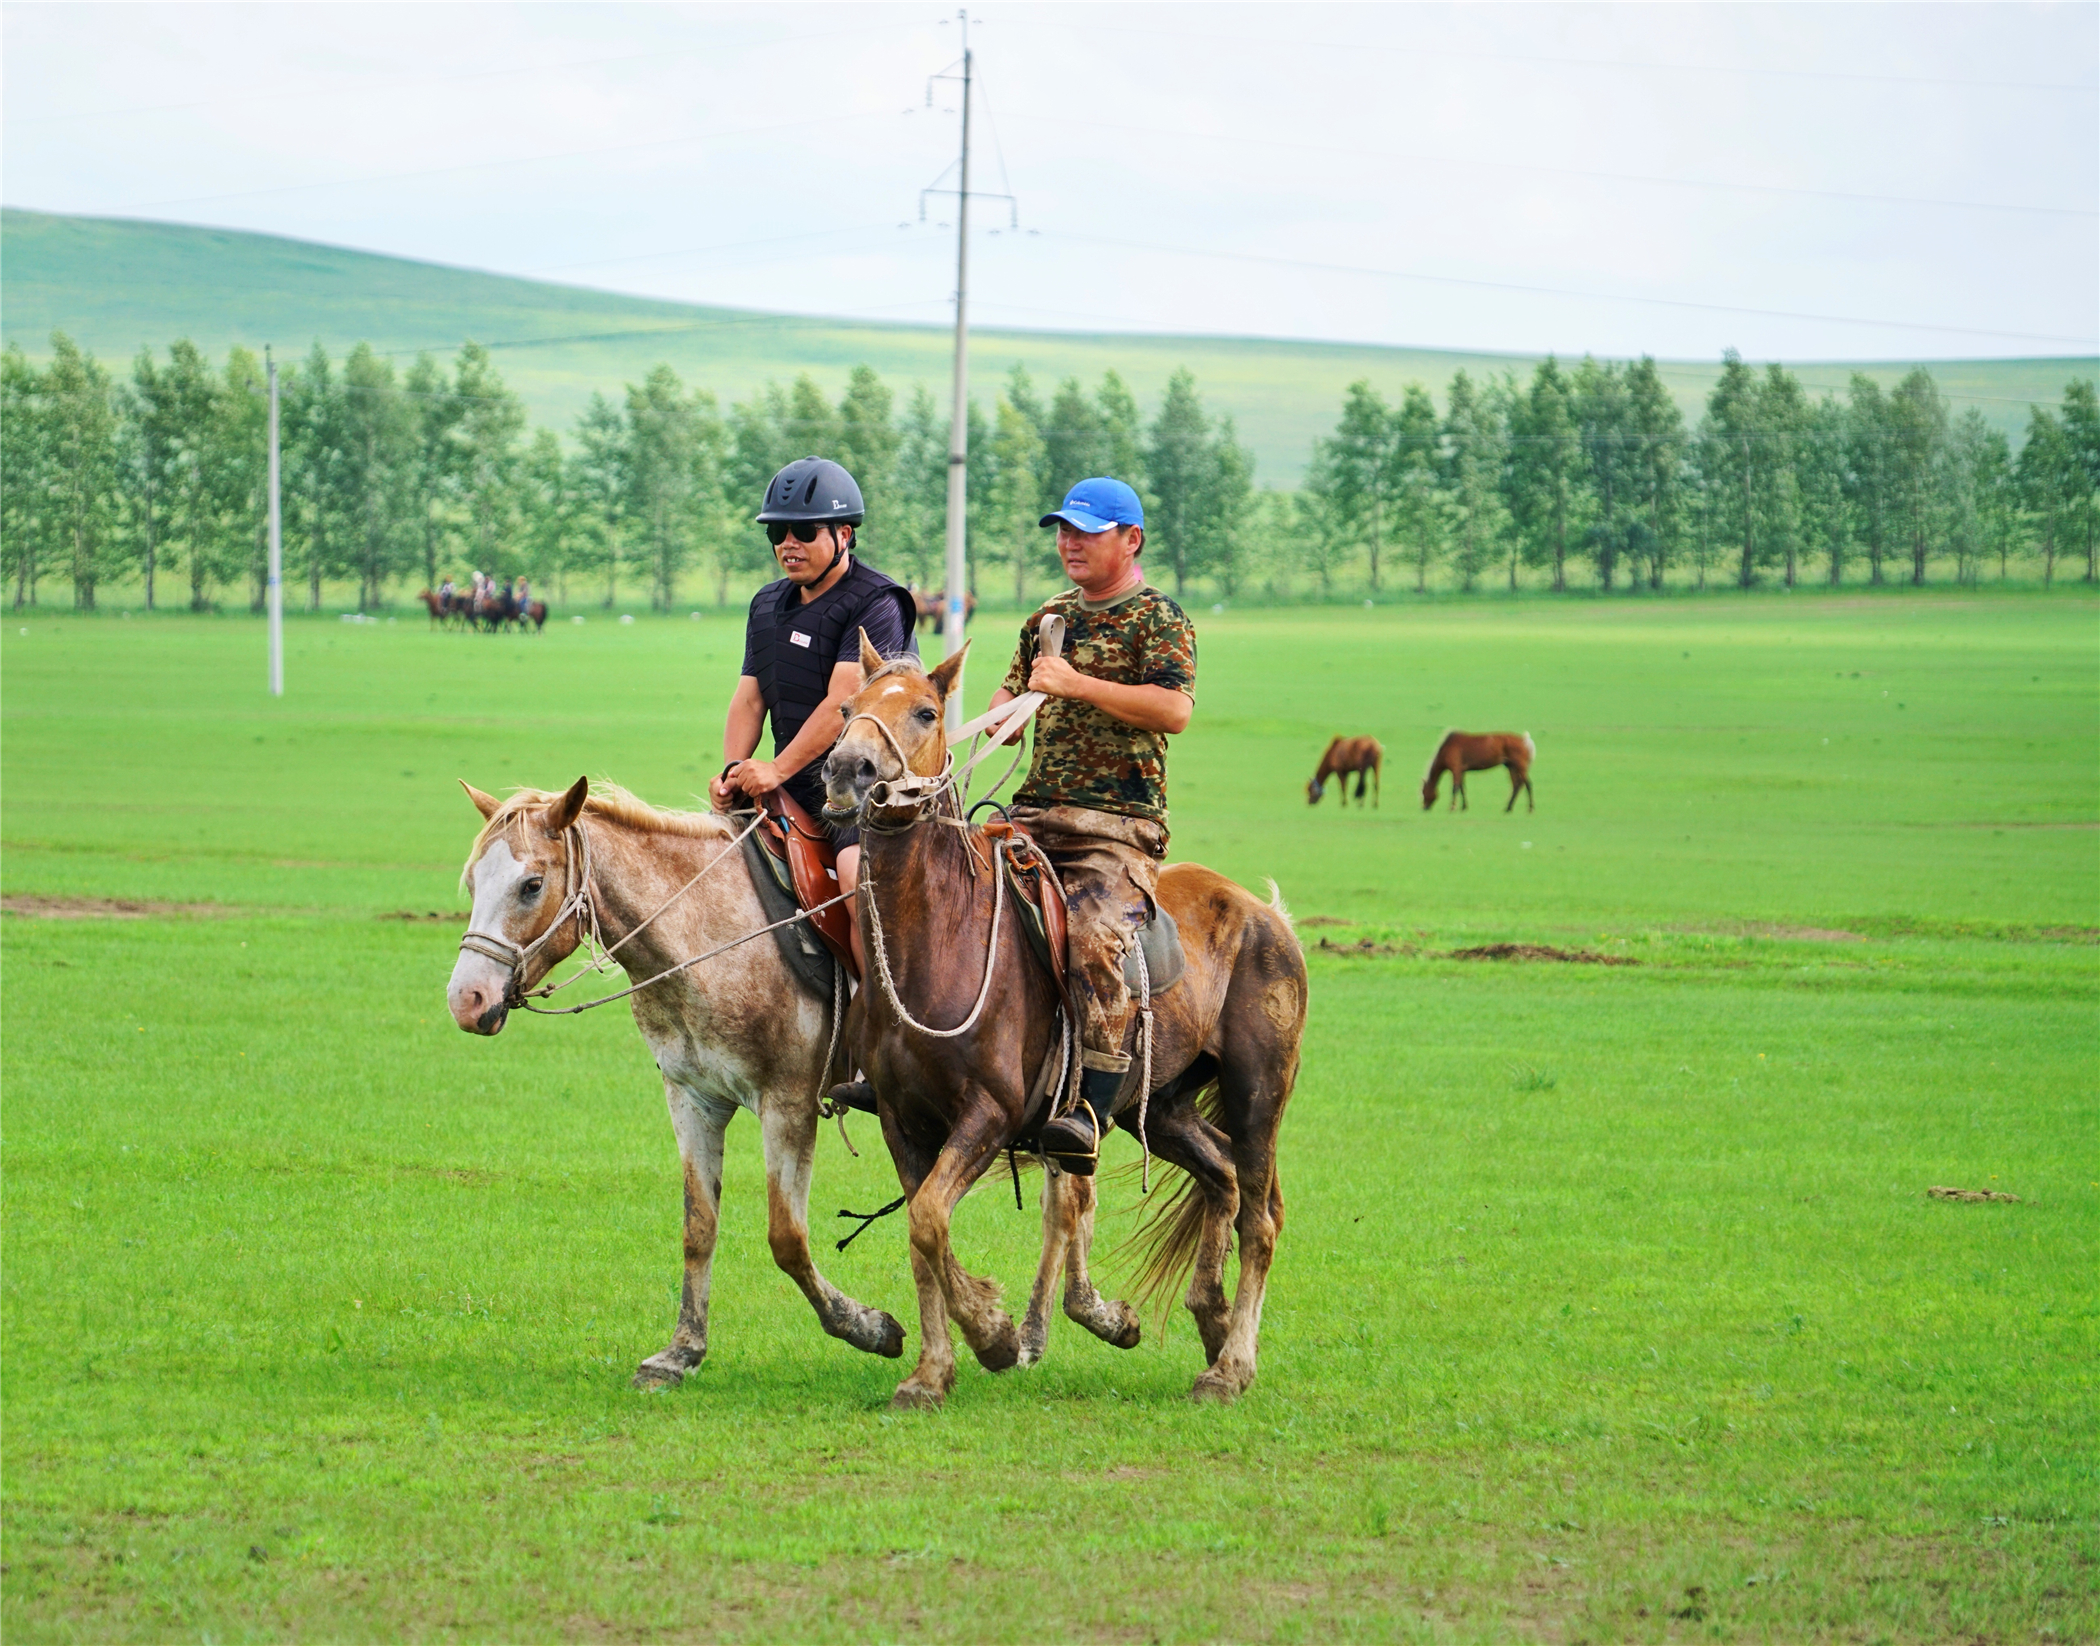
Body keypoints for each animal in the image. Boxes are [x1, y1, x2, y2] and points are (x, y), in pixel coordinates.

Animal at [443, 785, 902, 1385]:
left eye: (532, 885)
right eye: (475, 883)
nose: (466, 999)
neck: (708, 937)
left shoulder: (788, 1102)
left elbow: (787, 1238)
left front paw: (868, 1328)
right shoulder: (693, 1099)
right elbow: (698, 1227)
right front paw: (680, 1352)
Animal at [814, 638, 1293, 1410]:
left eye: (925, 711)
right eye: (847, 707)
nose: (847, 771)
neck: (938, 938)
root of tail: (1267, 915)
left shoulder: (989, 1114)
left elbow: (930, 1221)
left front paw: (992, 1333)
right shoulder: (901, 1119)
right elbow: (924, 1233)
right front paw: (933, 1371)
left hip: (1258, 1096)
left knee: (1259, 1217)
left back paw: (1230, 1368)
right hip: (1162, 1107)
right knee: (1218, 1177)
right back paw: (1213, 1321)